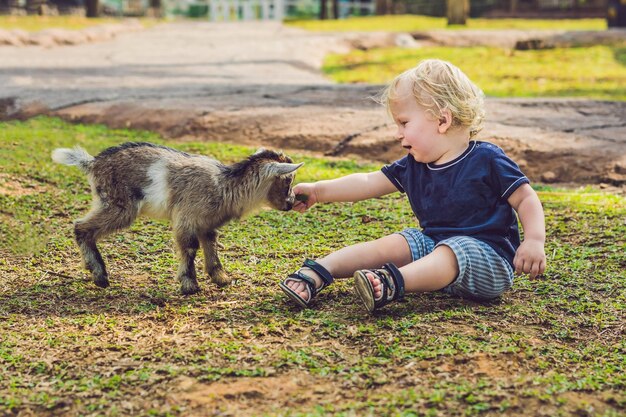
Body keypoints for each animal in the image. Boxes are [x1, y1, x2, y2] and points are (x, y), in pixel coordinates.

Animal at [52, 141, 302, 294]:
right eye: (288, 180)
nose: (291, 203)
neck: (225, 185)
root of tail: (92, 163)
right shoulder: (186, 218)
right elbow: (190, 247)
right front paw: (190, 285)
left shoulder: (206, 224)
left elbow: (211, 246)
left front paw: (221, 278)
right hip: (119, 205)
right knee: (81, 227)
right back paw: (100, 275)